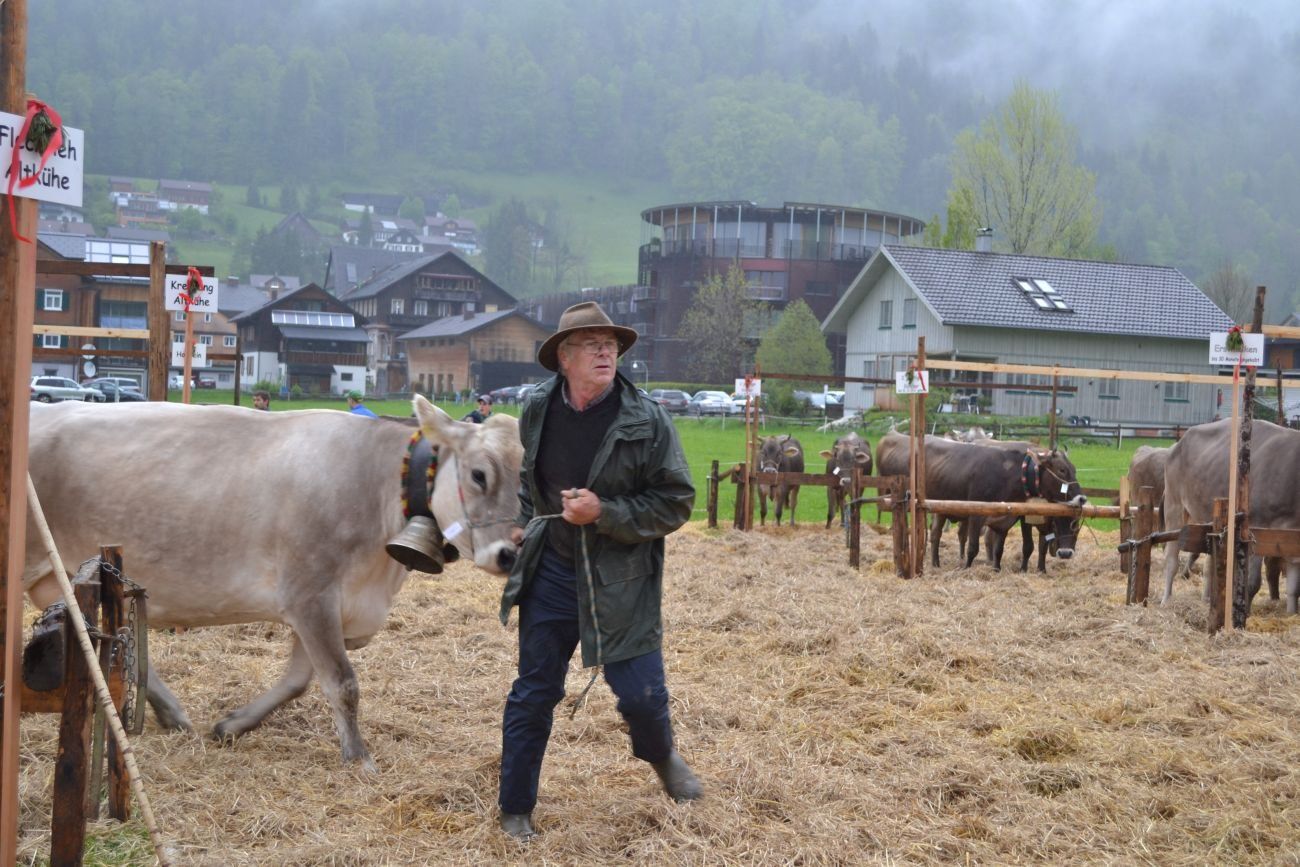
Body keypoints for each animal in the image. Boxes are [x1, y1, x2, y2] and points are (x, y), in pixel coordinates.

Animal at [23, 396, 522, 770]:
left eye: (527, 476)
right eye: (479, 474)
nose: (510, 554)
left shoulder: (328, 608)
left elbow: (298, 682)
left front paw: (234, 724)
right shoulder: (310, 595)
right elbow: (343, 683)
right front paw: (359, 758)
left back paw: (172, 714)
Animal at [876, 430, 1086, 569]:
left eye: (1074, 468)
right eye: (1062, 470)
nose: (1081, 498)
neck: (1008, 474)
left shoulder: (1006, 520)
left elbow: (999, 549)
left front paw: (996, 568)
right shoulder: (976, 516)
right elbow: (973, 548)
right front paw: (966, 568)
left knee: (935, 534)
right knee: (934, 535)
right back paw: (935, 563)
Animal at [1160, 418, 1299, 611]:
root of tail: (1178, 443)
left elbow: (1294, 589)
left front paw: (1291, 613)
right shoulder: (1257, 529)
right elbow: (1252, 582)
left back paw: (1206, 599)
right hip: (1174, 505)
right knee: (1171, 558)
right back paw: (1166, 600)